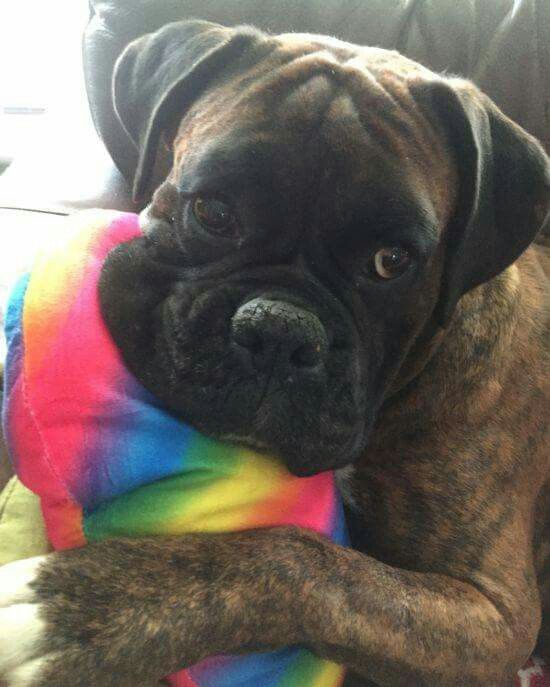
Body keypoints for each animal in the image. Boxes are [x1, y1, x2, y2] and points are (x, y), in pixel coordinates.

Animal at [1, 18, 550, 687]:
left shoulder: (495, 618)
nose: (280, 330)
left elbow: (304, 562)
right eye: (213, 211)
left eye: (392, 261)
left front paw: (72, 611)